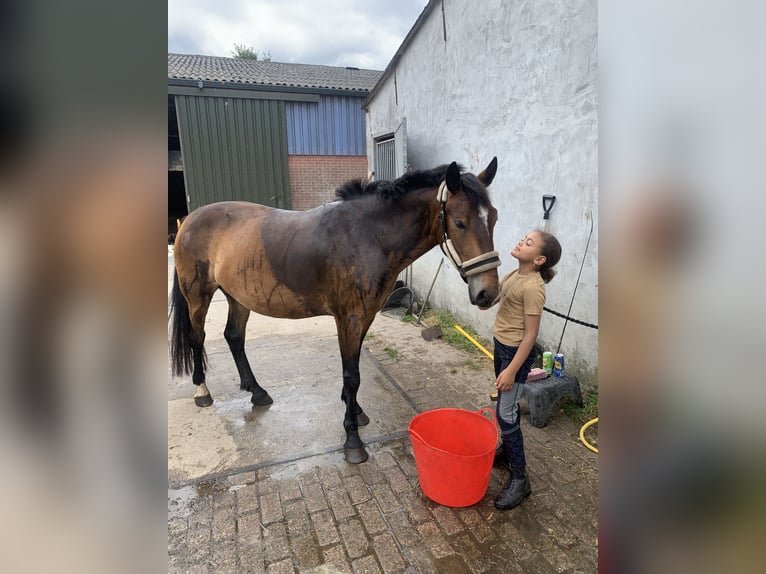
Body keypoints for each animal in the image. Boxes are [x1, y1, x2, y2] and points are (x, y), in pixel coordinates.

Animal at [169, 158, 501, 463]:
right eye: (460, 222)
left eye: (494, 218)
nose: (488, 293)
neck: (367, 235)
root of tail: (189, 219)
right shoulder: (349, 319)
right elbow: (352, 375)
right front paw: (352, 439)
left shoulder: (364, 317)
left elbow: (353, 373)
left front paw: (356, 412)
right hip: (198, 295)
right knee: (198, 338)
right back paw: (202, 392)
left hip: (238, 296)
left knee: (234, 337)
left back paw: (257, 392)